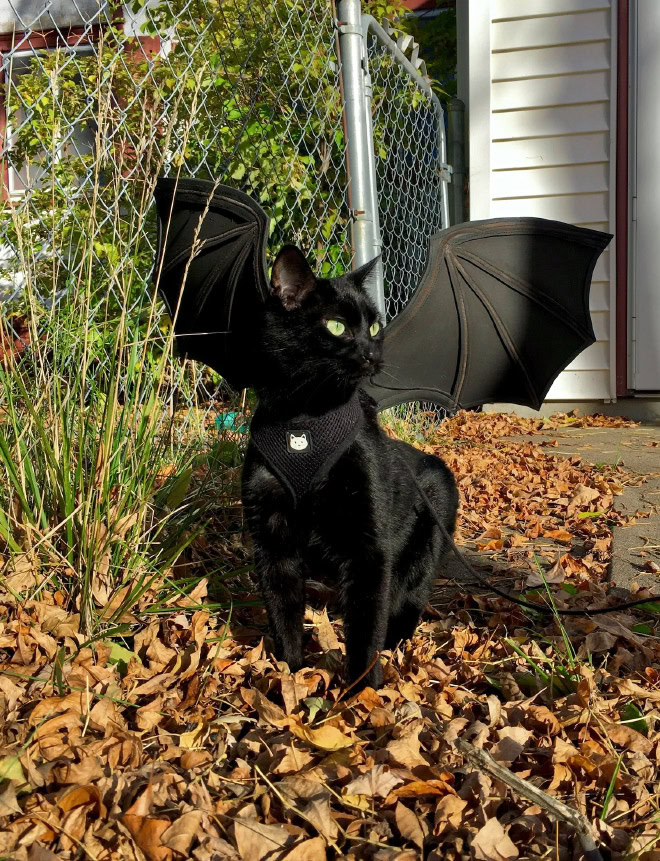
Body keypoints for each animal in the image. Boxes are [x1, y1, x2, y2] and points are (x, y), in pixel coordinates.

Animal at [242, 245, 458, 688]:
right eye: (337, 326)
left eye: (373, 326)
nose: (372, 352)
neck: (304, 421)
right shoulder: (272, 541)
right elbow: (282, 612)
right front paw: (290, 676)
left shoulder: (369, 547)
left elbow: (365, 624)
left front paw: (364, 691)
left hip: (427, 536)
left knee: (408, 598)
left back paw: (394, 644)